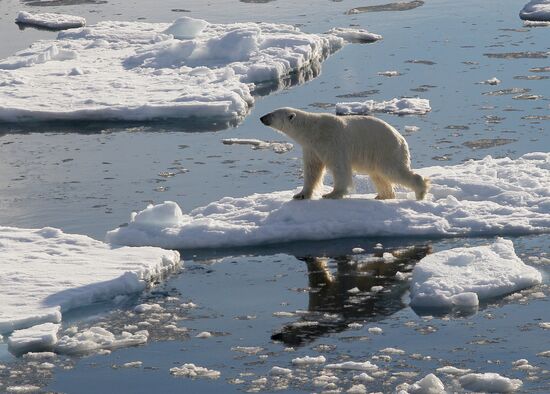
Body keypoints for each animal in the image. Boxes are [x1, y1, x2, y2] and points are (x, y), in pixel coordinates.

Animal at [262, 107, 432, 200]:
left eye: (272, 114)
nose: (262, 117)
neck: (313, 130)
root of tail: (401, 139)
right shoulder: (311, 148)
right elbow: (312, 170)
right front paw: (300, 194)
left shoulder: (332, 142)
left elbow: (340, 168)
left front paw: (332, 194)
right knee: (378, 175)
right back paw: (383, 195)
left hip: (386, 149)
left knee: (393, 171)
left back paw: (420, 191)